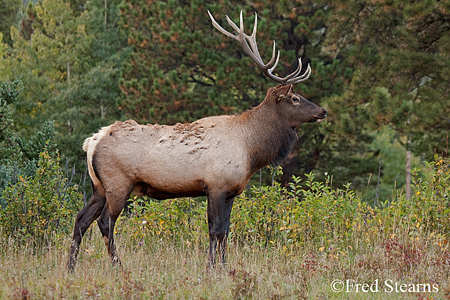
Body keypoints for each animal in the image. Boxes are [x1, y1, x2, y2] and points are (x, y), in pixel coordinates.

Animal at [67, 10, 326, 270]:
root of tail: (92, 141)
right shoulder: (216, 185)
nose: (322, 111)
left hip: (99, 186)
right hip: (118, 183)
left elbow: (225, 231)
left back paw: (70, 267)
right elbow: (214, 229)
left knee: (81, 219)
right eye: (295, 98)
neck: (251, 150)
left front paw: (223, 266)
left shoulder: (231, 191)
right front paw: (211, 267)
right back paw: (118, 266)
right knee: (104, 222)